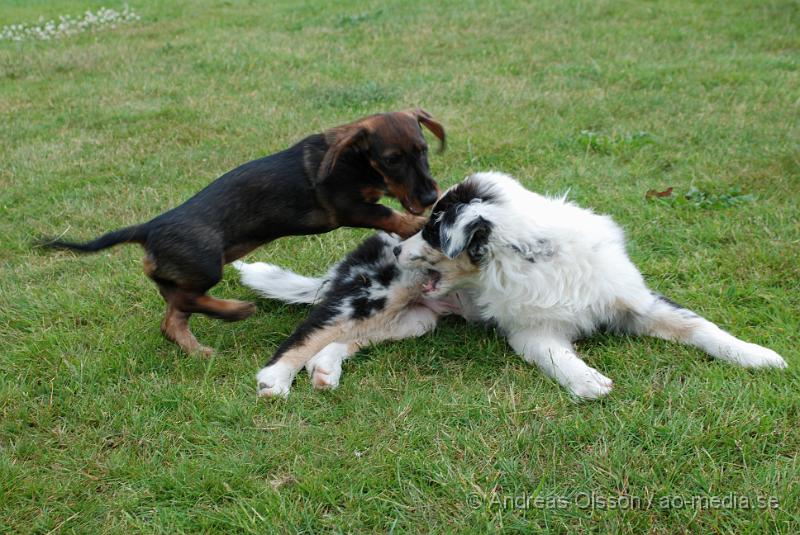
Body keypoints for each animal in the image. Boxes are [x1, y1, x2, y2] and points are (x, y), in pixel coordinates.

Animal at [40, 109, 446, 356]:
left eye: (423, 149)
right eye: (392, 159)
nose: (429, 196)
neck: (356, 159)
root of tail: (148, 228)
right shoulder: (349, 207)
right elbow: (387, 215)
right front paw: (414, 223)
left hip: (179, 278)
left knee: (172, 318)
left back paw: (198, 349)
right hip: (206, 266)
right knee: (186, 302)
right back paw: (235, 310)